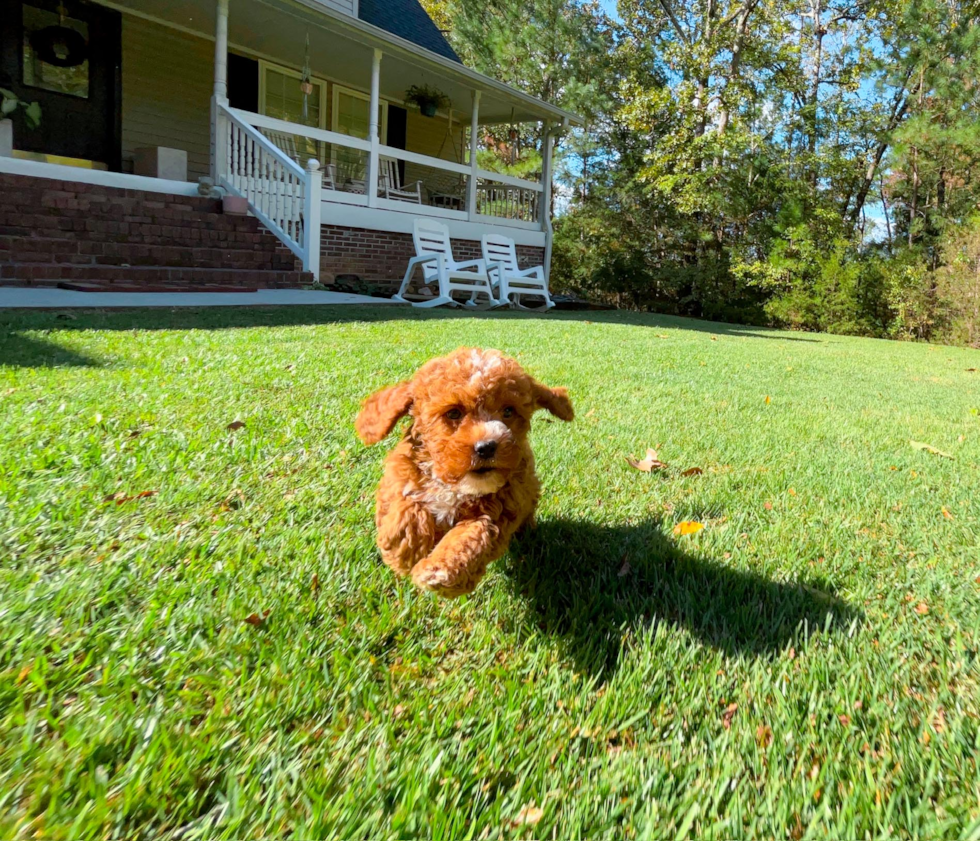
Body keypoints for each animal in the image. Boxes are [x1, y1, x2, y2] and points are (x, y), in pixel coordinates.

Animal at [356, 348, 576, 596]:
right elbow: (404, 502)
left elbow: (471, 535)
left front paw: (439, 570)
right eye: (454, 413)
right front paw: (402, 550)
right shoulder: (400, 474)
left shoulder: (500, 508)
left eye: (508, 411)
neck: (455, 485)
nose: (487, 447)